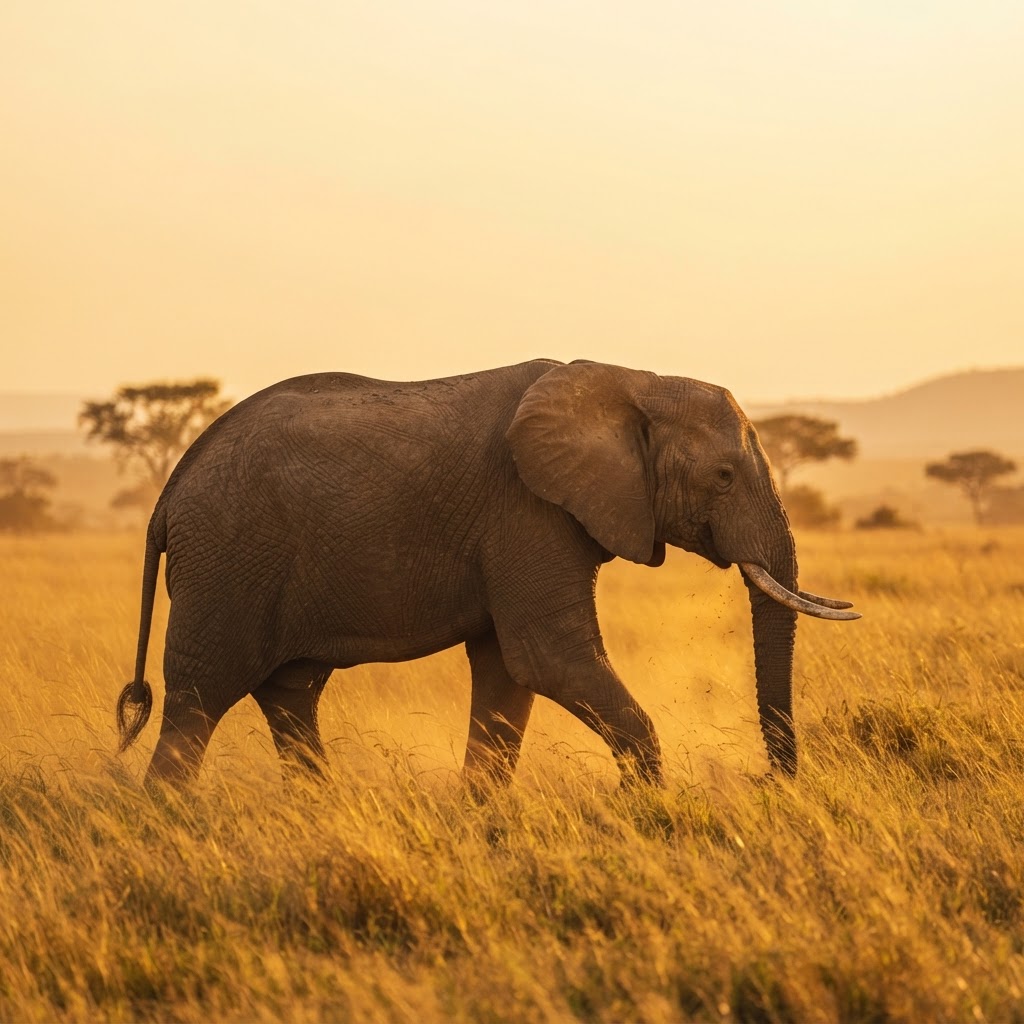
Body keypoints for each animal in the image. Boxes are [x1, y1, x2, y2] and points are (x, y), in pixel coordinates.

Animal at [116, 359, 858, 791]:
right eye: (724, 477)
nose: (771, 786)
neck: (632, 381)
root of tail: (170, 488)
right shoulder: (526, 511)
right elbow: (547, 658)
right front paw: (645, 814)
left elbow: (507, 673)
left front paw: (481, 827)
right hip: (227, 558)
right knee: (200, 697)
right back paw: (169, 827)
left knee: (289, 696)